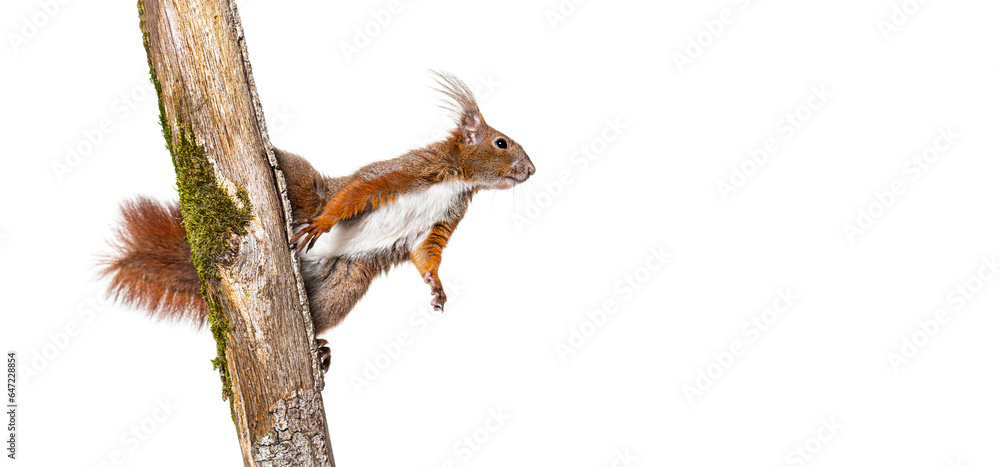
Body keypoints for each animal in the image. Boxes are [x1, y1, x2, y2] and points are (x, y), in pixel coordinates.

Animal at [100, 72, 535, 369]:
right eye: (501, 143)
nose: (531, 170)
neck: (458, 179)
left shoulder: (439, 223)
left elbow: (426, 254)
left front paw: (436, 287)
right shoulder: (403, 173)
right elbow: (358, 191)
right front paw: (325, 224)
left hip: (347, 278)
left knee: (321, 308)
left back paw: (321, 349)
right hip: (306, 188)